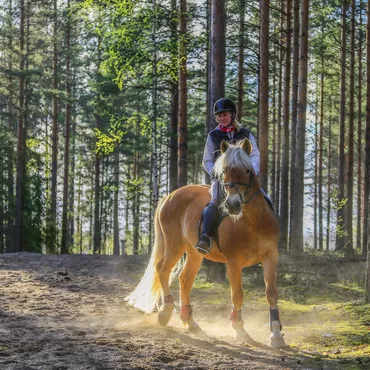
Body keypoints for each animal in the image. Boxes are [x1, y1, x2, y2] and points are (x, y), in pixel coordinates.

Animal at [125, 139, 286, 350]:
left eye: (247, 170)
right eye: (224, 171)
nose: (232, 205)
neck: (252, 221)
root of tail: (170, 196)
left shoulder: (270, 257)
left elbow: (271, 293)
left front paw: (276, 334)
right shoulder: (233, 263)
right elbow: (237, 295)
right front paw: (240, 331)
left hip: (194, 252)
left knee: (185, 279)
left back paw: (191, 324)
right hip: (174, 244)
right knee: (163, 269)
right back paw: (166, 312)